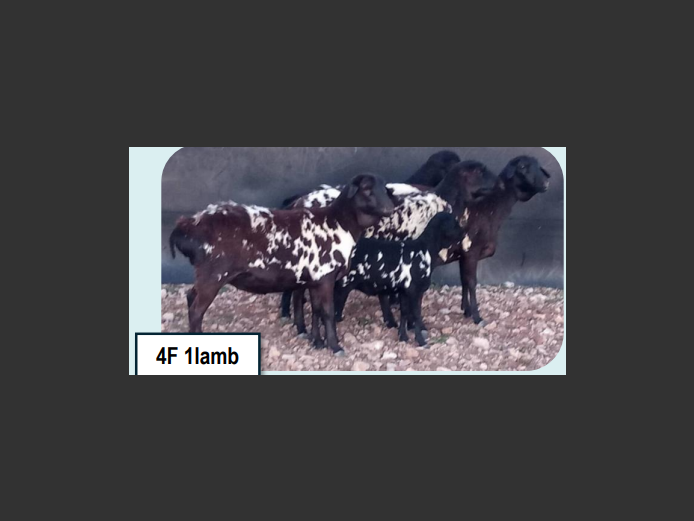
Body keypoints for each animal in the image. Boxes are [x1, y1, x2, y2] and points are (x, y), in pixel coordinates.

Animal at [169, 174, 395, 354]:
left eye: (384, 188)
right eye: (366, 188)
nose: (390, 208)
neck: (339, 222)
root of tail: (188, 225)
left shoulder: (315, 279)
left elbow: (316, 310)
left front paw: (317, 342)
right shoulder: (325, 277)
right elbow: (328, 313)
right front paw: (335, 346)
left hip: (205, 275)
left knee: (190, 297)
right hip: (212, 275)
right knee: (197, 310)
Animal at [334, 213, 465, 346]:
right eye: (454, 224)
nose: (464, 233)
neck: (424, 250)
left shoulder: (404, 291)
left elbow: (405, 313)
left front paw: (403, 336)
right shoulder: (414, 291)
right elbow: (416, 315)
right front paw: (421, 340)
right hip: (341, 287)